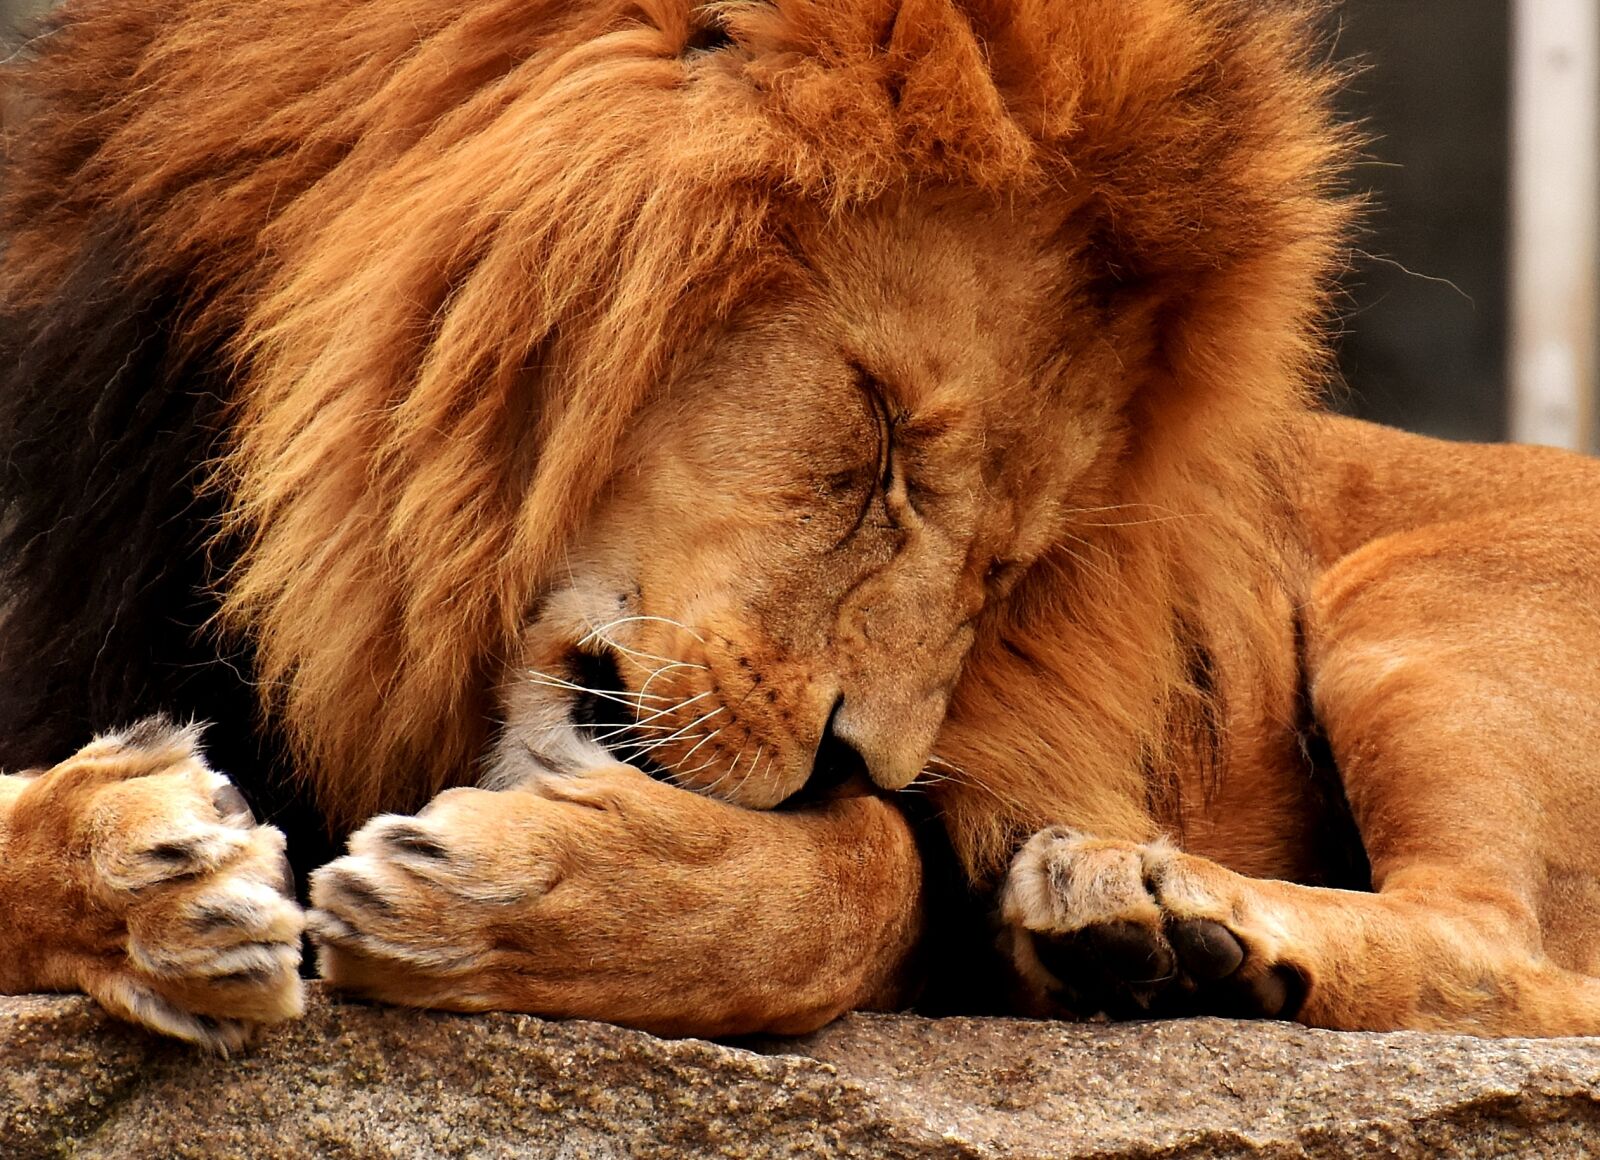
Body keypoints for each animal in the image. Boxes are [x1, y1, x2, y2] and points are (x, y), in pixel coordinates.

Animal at [3, 0, 1600, 1054]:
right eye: (883, 442)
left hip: (1420, 610)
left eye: (1010, 559)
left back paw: (1170, 918)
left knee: (1516, 961)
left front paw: (500, 896)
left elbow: (866, 878)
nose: (857, 754)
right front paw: (142, 870)